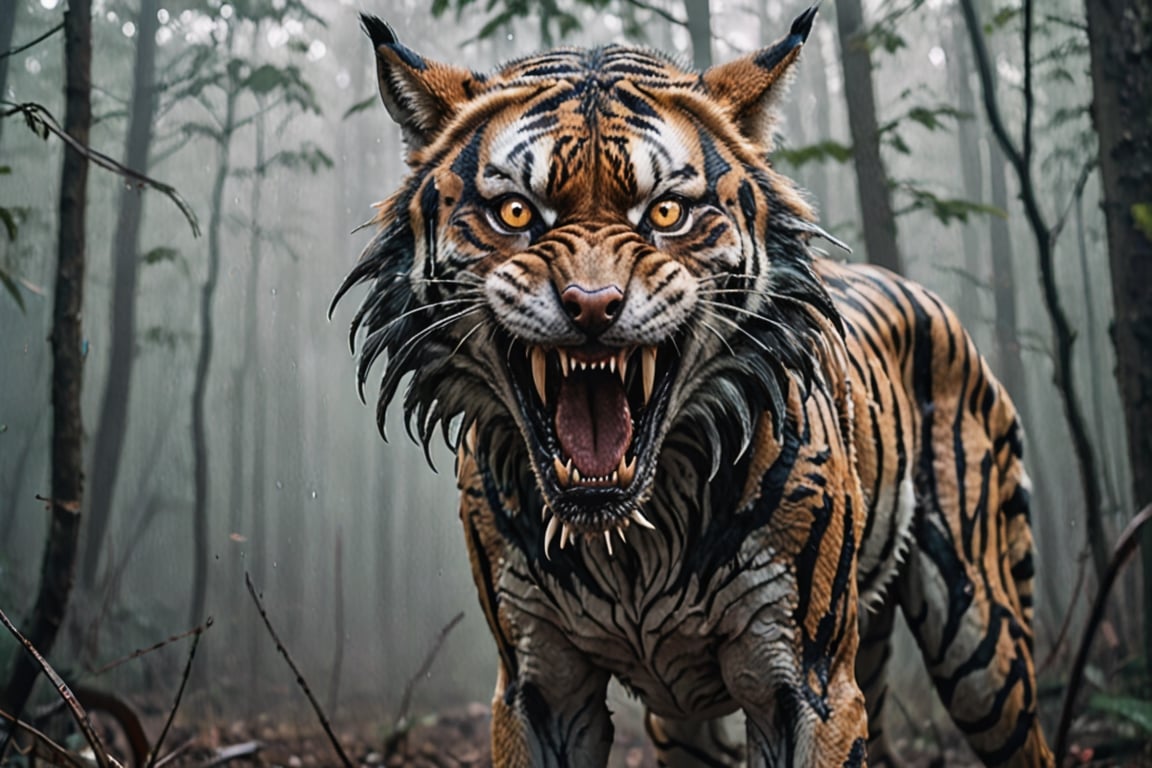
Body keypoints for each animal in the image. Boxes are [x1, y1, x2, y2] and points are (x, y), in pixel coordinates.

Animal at [331, 7, 1054, 767]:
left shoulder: (811, 686)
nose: (593, 305)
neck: (634, 545)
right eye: (518, 214)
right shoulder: (537, 685)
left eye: (666, 213)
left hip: (983, 650)